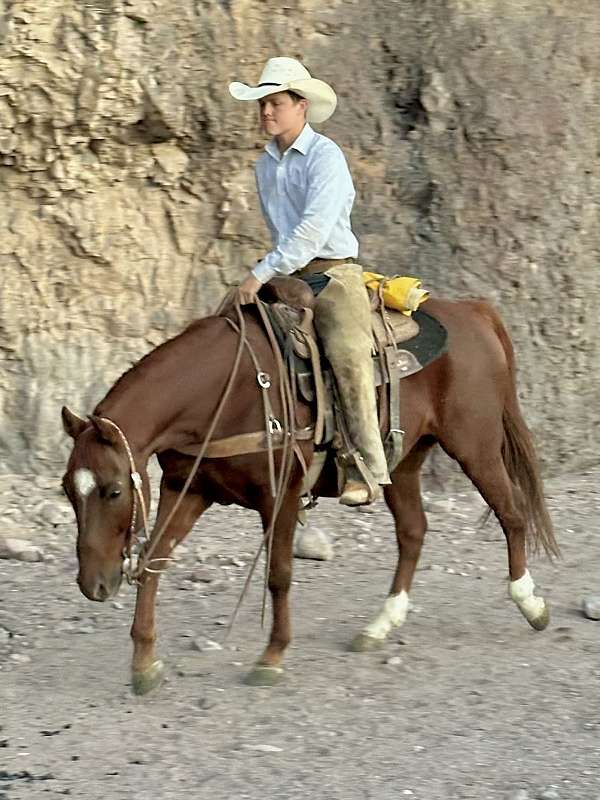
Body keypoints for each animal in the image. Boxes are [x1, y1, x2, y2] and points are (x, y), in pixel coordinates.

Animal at [61, 300, 556, 692]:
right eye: (68, 490)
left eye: (114, 490)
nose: (93, 585)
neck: (221, 394)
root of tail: (474, 310)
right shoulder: (189, 488)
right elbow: (154, 561)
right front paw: (144, 664)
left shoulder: (278, 495)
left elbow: (279, 575)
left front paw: (272, 657)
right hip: (403, 460)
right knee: (414, 531)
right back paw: (379, 626)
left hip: (476, 444)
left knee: (511, 512)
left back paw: (530, 604)